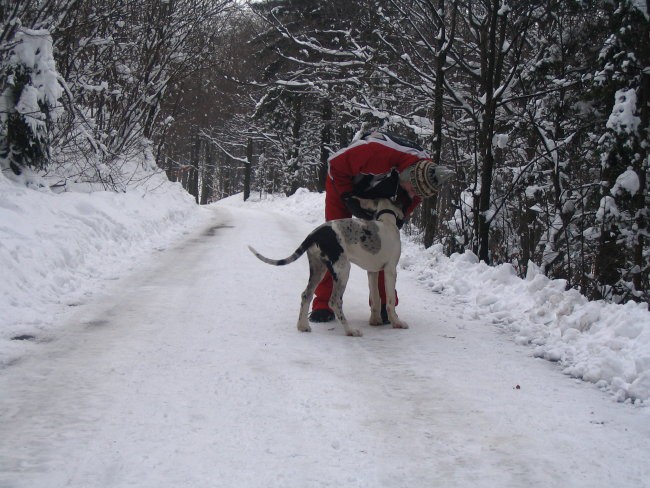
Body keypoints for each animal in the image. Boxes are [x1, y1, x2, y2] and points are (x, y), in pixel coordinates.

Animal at [248, 198, 404, 336]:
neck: (387, 220)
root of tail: (314, 234)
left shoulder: (372, 272)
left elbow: (376, 298)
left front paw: (375, 320)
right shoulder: (390, 271)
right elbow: (390, 301)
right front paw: (397, 323)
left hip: (318, 269)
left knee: (306, 295)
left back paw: (302, 326)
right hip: (343, 270)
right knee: (334, 301)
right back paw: (350, 331)